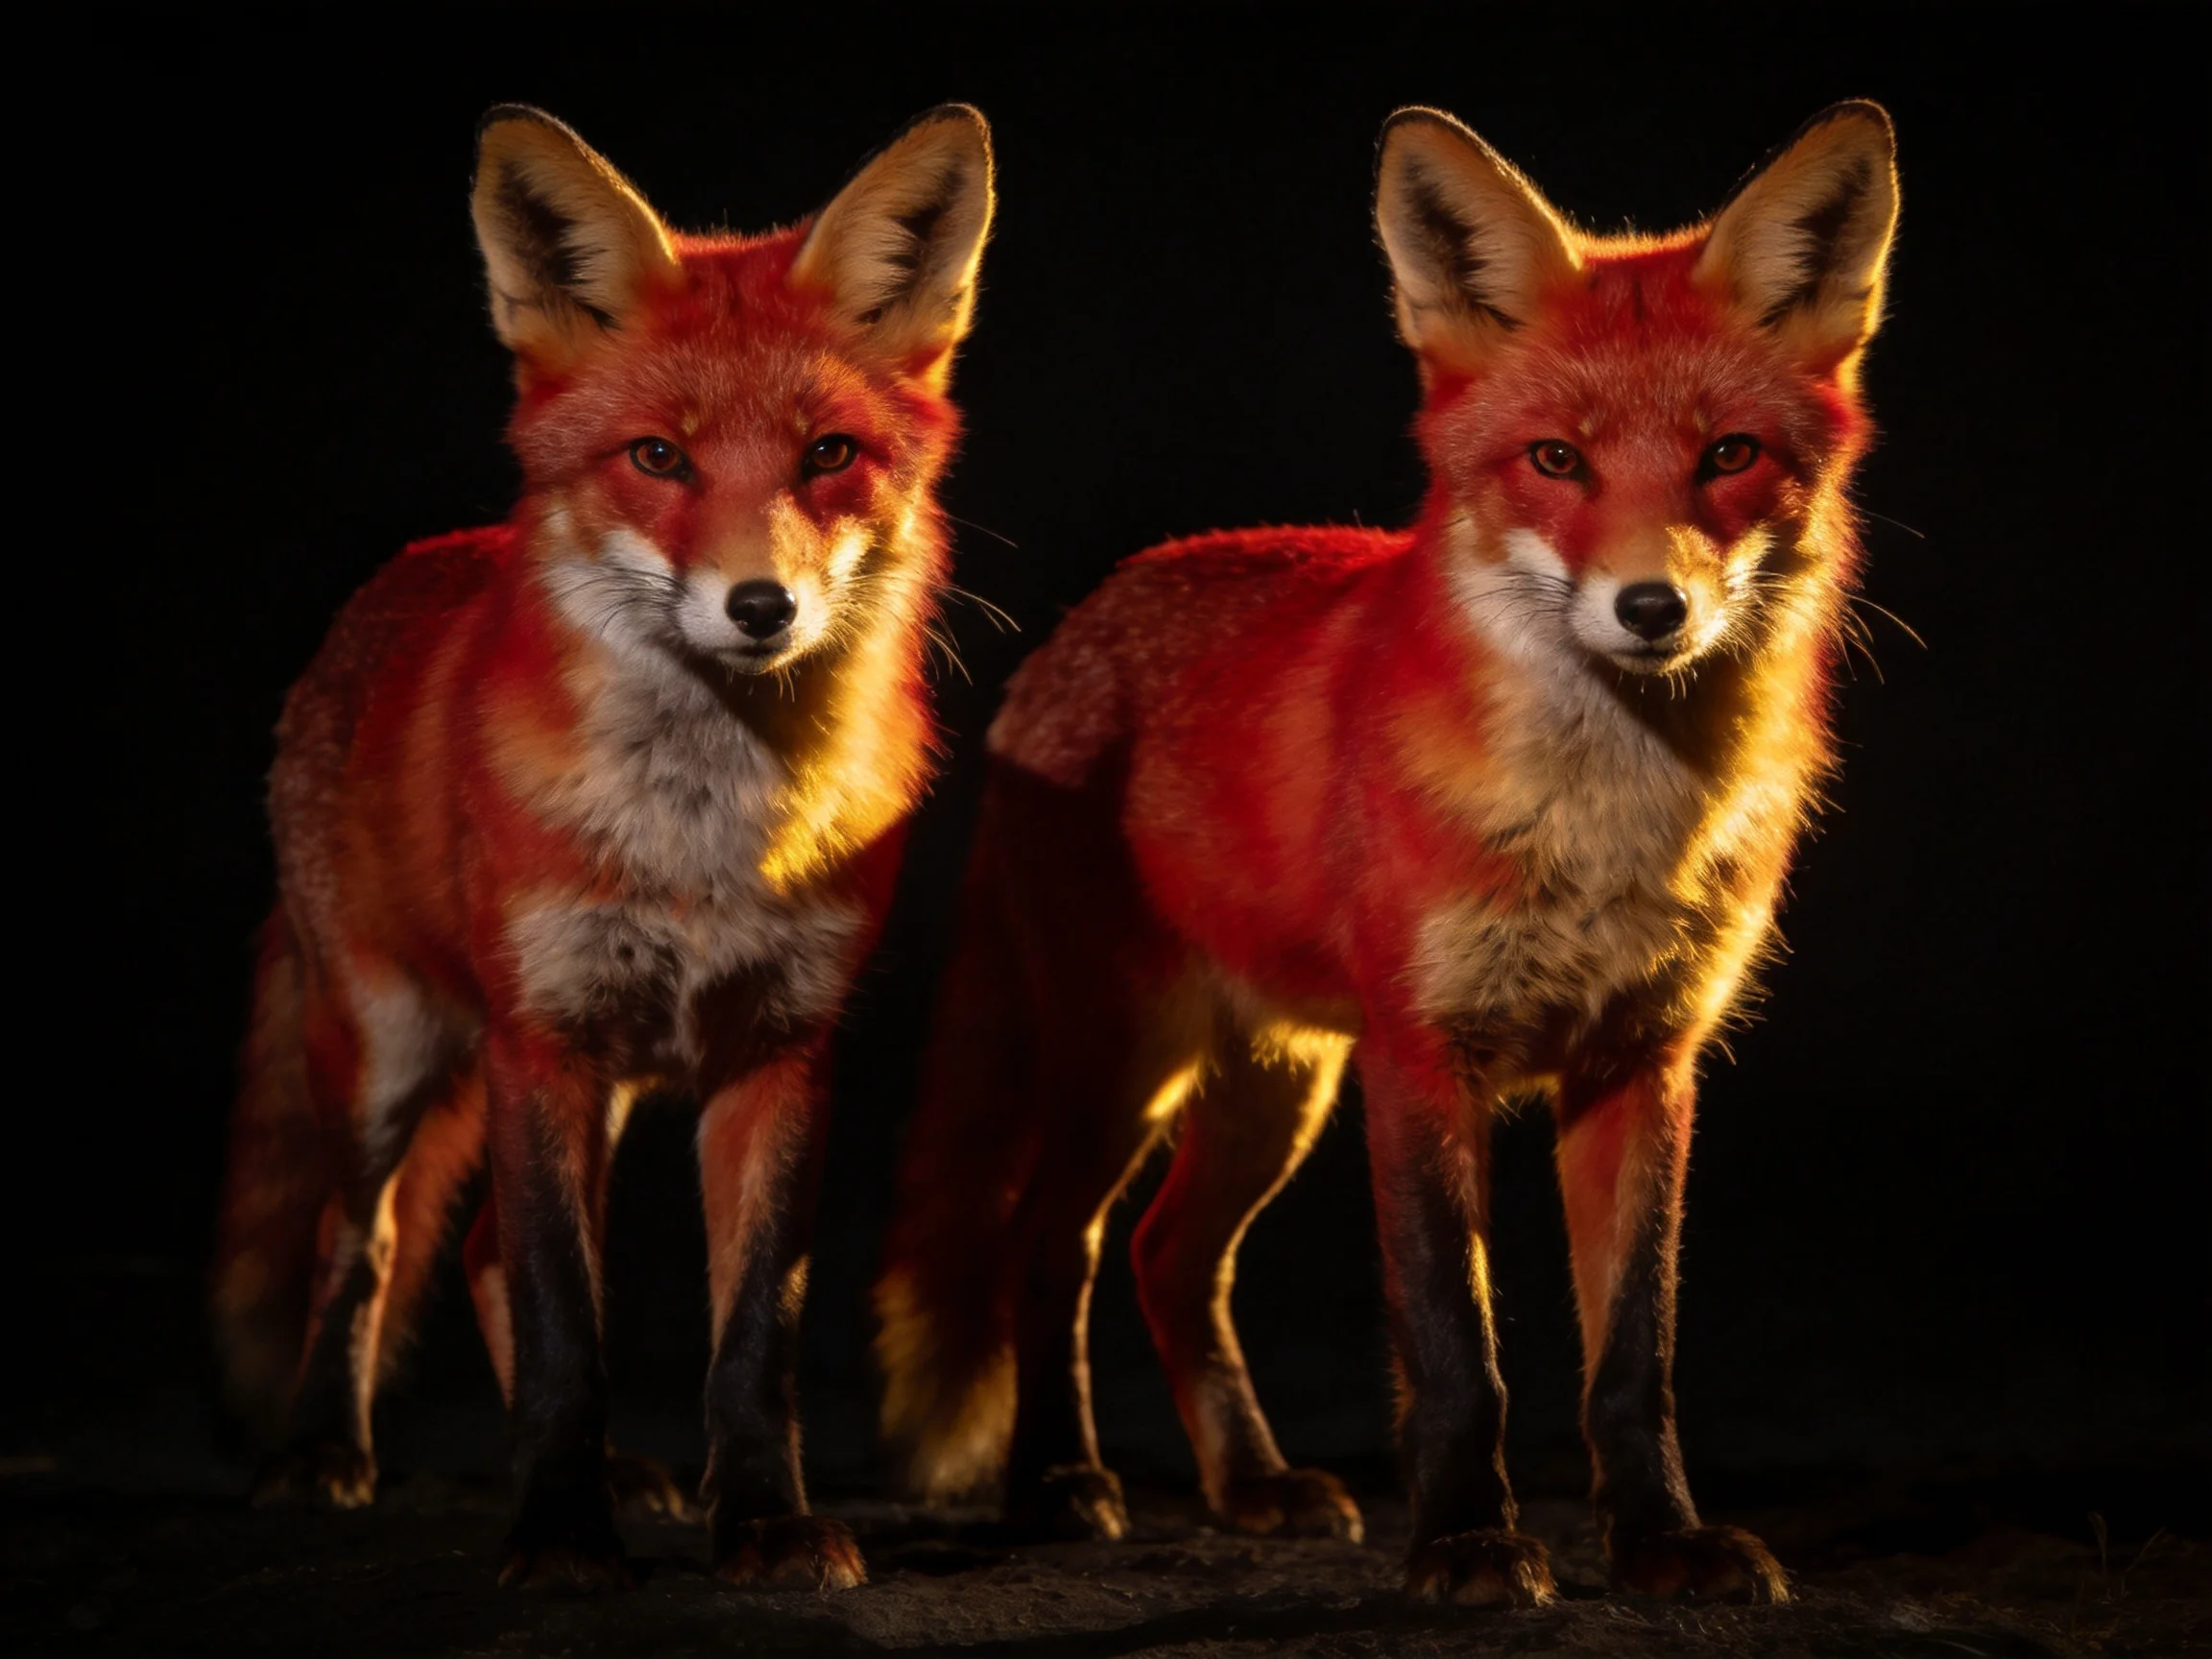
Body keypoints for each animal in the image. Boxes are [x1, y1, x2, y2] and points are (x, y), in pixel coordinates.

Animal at [210, 103, 995, 1590]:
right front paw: (562, 1535)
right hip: (387, 1056)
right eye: (657, 459)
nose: (761, 606)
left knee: (473, 1257)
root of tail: (400, 576)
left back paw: (622, 1474)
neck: (702, 840)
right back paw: (321, 1451)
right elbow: (569, 1326)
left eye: (828, 455)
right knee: (364, 1240)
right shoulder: (545, 1042)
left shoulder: (780, 1055)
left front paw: (764, 1521)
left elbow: (752, 1340)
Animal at [876, 103, 1898, 1606]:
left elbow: (1630, 1363)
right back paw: (1059, 1481)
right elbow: (1454, 1349)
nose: (1652, 609)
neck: (1601, 826)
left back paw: (1249, 1485)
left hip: (1273, 1082)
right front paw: (1469, 1542)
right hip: (1127, 1062)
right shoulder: (1425, 1058)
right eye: (1555, 461)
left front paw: (1659, 1541)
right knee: (1046, 1241)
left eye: (1729, 456)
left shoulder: (1641, 1065)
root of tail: (1080, 624)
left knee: (1169, 1257)